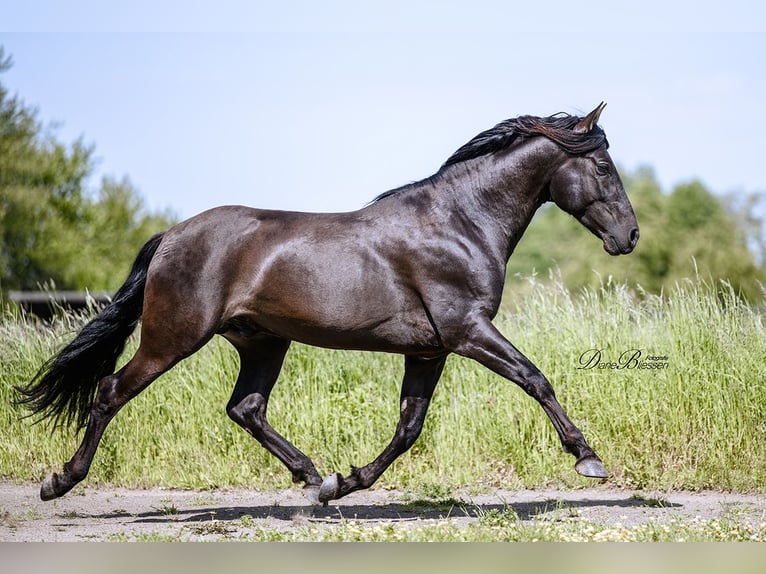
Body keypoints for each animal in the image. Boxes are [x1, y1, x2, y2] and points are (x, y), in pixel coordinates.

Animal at [18, 102, 640, 504]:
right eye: (603, 166)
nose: (629, 237)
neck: (459, 223)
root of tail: (171, 235)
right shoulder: (467, 331)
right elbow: (536, 379)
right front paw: (588, 458)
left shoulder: (431, 350)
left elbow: (409, 427)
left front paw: (344, 484)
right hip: (173, 337)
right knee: (110, 392)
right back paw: (60, 482)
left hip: (263, 342)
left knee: (245, 408)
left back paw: (311, 474)